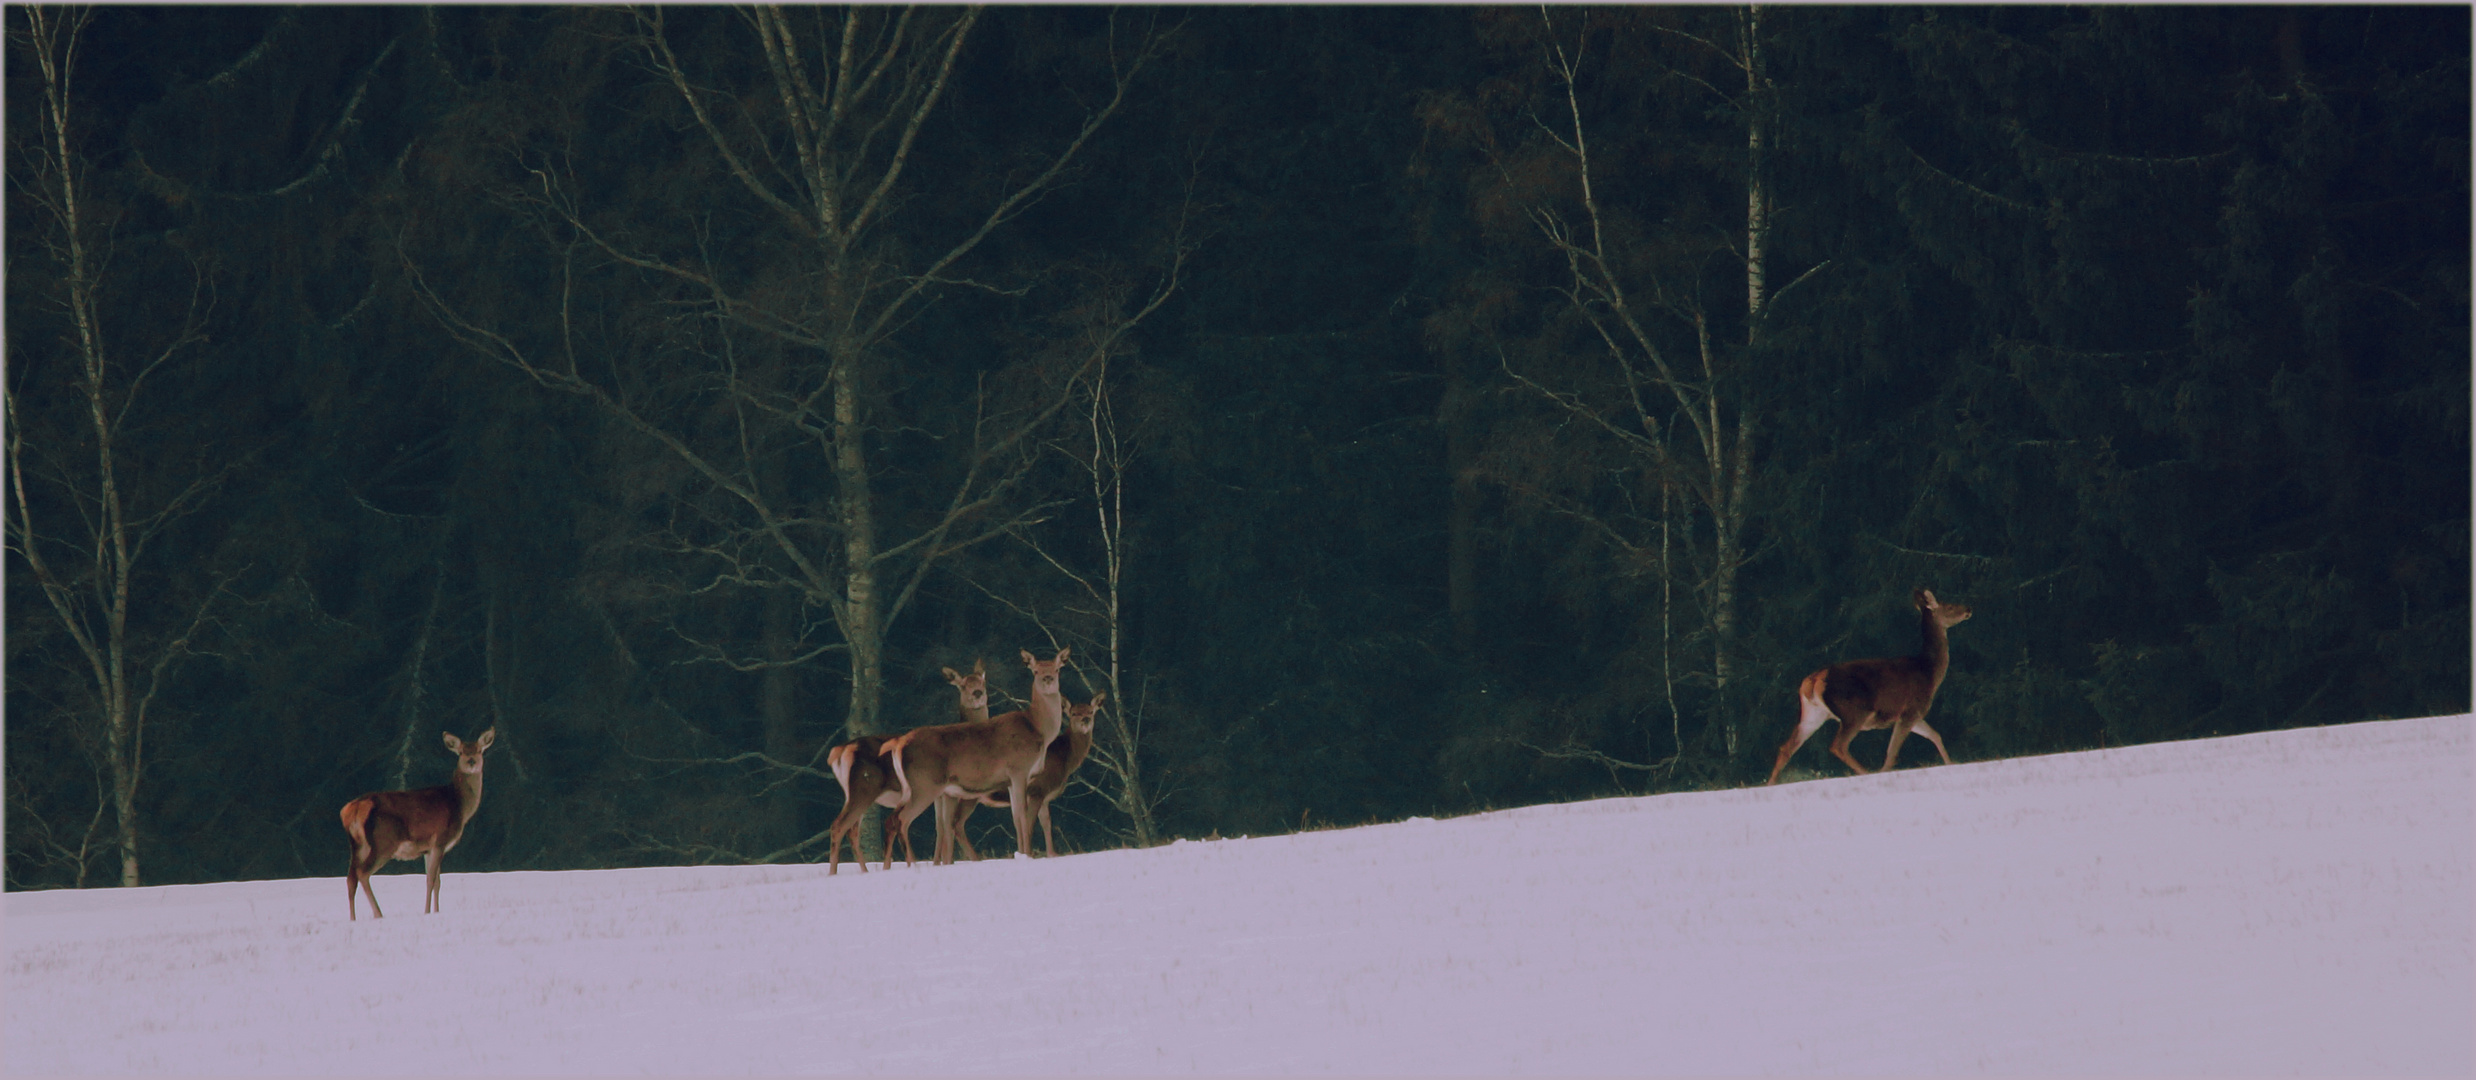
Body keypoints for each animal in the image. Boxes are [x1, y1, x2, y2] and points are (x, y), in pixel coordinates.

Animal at [341, 723, 495, 921]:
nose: (471, 761)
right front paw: (427, 911)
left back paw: (353, 918)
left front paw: (435, 910)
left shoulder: (428, 849)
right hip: (384, 841)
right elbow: (431, 880)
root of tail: (354, 809)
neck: (458, 804)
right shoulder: (440, 840)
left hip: (358, 845)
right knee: (362, 873)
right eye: (461, 752)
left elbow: (437, 882)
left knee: (350, 878)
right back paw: (378, 913)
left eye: (479, 750)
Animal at [826, 653, 990, 871]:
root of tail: (839, 752)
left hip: (854, 793)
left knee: (853, 830)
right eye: (963, 685)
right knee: (841, 826)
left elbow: (939, 827)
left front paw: (938, 863)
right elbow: (946, 827)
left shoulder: (939, 795)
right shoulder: (945, 792)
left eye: (982, 681)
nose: (978, 693)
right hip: (865, 787)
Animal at [876, 644, 1069, 866]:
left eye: (1057, 669)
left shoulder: (1010, 780)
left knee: (892, 820)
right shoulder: (1018, 769)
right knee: (904, 820)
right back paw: (913, 865)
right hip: (925, 784)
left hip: (912, 788)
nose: (1048, 679)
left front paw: (1020, 853)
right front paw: (1027, 854)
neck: (1038, 729)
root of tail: (898, 744)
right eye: (1036, 670)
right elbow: (1023, 814)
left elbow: (1015, 817)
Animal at [1762, 589, 1970, 782]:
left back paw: (1771, 783)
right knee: (1838, 745)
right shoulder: (1911, 709)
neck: (1928, 671)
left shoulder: (1912, 715)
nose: (1968, 609)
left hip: (1813, 714)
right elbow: (1892, 752)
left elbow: (1935, 735)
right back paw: (1866, 773)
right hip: (1853, 711)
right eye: (1949, 606)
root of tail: (1812, 682)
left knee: (1787, 747)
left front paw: (1950, 764)